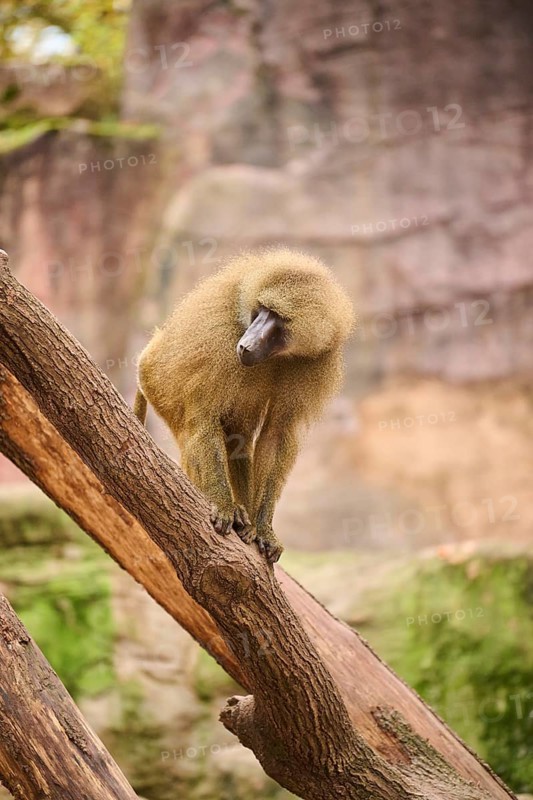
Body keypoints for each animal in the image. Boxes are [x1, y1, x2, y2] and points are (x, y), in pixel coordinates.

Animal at [133, 248, 354, 563]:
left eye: (277, 318)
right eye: (261, 310)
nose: (244, 345)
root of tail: (147, 355)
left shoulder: (316, 360)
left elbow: (275, 435)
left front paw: (263, 529)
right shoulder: (221, 338)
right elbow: (203, 419)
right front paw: (223, 506)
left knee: (239, 438)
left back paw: (246, 518)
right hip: (159, 385)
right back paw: (229, 507)